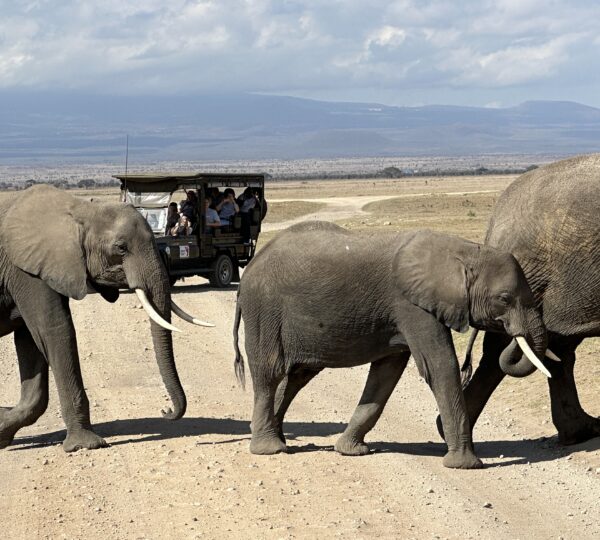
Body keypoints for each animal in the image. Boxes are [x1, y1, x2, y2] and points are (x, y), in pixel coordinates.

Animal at [0, 185, 211, 452]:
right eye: (121, 248)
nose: (166, 410)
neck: (79, 209)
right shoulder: (25, 270)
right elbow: (54, 330)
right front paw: (86, 445)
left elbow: (31, 341)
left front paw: (1, 430)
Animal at [232, 219, 552, 468]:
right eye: (504, 299)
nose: (510, 334)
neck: (464, 251)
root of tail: (249, 268)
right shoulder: (412, 305)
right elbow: (440, 367)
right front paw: (466, 464)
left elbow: (385, 376)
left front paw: (351, 450)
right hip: (264, 310)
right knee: (270, 372)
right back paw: (270, 449)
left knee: (296, 376)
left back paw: (276, 438)